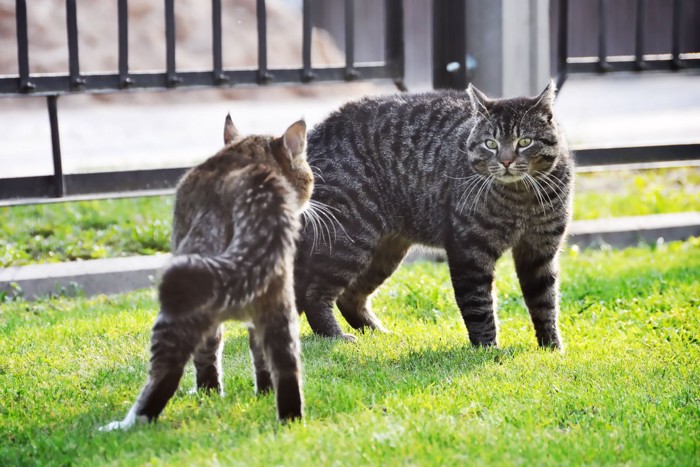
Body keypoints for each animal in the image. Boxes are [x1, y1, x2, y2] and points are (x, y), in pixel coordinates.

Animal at [100, 116, 312, 432]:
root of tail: (255, 184)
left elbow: (207, 353)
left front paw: (208, 393)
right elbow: (257, 358)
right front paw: (260, 392)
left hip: (185, 295)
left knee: (167, 373)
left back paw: (127, 424)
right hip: (277, 305)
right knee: (287, 367)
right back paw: (290, 420)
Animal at [296, 82, 576, 350]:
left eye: (525, 141)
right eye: (491, 144)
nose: (506, 161)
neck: (521, 198)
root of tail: (316, 131)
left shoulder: (540, 251)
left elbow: (545, 302)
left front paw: (552, 347)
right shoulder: (470, 250)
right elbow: (478, 305)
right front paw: (487, 349)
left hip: (384, 252)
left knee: (349, 296)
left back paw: (377, 333)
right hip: (348, 240)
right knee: (315, 294)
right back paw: (335, 336)